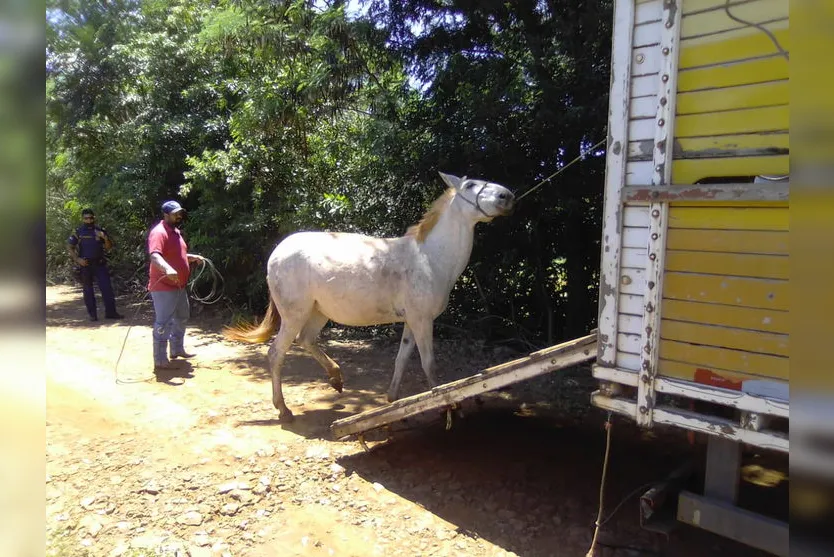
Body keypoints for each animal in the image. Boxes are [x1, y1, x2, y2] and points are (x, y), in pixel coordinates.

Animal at [224, 172, 516, 420]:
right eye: (470, 185)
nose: (507, 196)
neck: (429, 258)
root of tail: (276, 253)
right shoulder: (422, 320)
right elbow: (429, 364)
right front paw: (448, 405)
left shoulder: (412, 321)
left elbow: (401, 359)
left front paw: (392, 400)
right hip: (295, 314)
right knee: (276, 353)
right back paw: (284, 410)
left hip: (318, 312)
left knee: (305, 341)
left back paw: (336, 378)